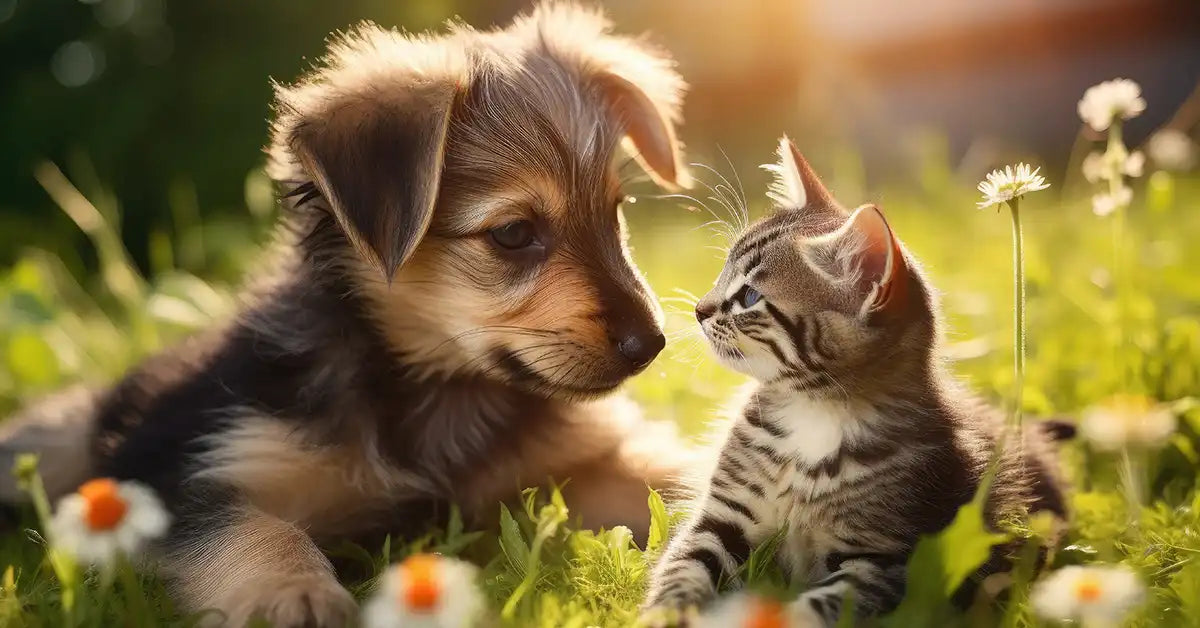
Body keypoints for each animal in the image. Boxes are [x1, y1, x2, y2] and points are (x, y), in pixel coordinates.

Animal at [0, 3, 696, 624]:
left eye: (616, 210)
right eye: (514, 233)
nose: (652, 343)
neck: (435, 392)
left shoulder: (578, 462)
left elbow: (676, 476)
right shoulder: (189, 470)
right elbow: (252, 531)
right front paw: (290, 595)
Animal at [648, 139, 1070, 624]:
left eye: (749, 296)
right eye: (722, 272)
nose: (699, 309)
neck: (814, 412)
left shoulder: (881, 558)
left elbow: (821, 606)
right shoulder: (722, 517)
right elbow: (682, 568)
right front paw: (664, 613)